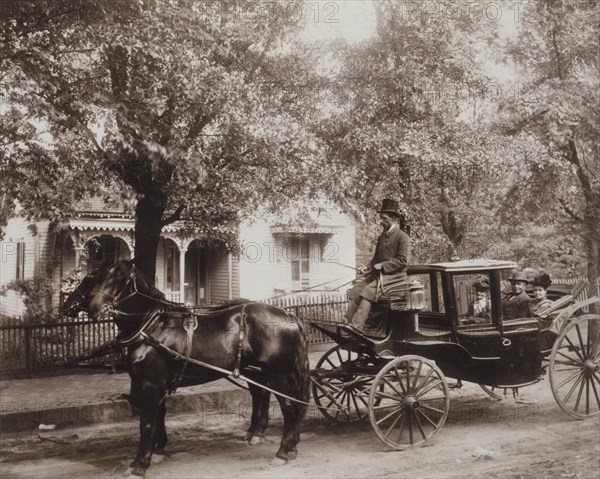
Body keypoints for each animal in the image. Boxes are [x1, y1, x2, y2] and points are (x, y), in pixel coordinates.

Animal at [62, 260, 310, 478]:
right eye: (98, 276)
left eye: (119, 279)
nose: (93, 308)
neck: (151, 326)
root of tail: (289, 315)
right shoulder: (156, 384)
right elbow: (158, 417)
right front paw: (156, 452)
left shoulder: (150, 384)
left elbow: (147, 424)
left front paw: (140, 465)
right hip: (258, 371)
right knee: (267, 397)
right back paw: (280, 442)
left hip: (277, 374)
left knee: (289, 407)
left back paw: (282, 452)